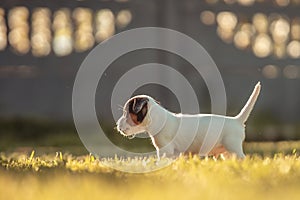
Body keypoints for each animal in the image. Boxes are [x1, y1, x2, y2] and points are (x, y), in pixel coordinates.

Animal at [116, 82, 262, 159]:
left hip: (233, 148)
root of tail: (237, 120)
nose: (117, 125)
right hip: (225, 153)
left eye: (127, 113)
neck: (159, 119)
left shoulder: (165, 151)